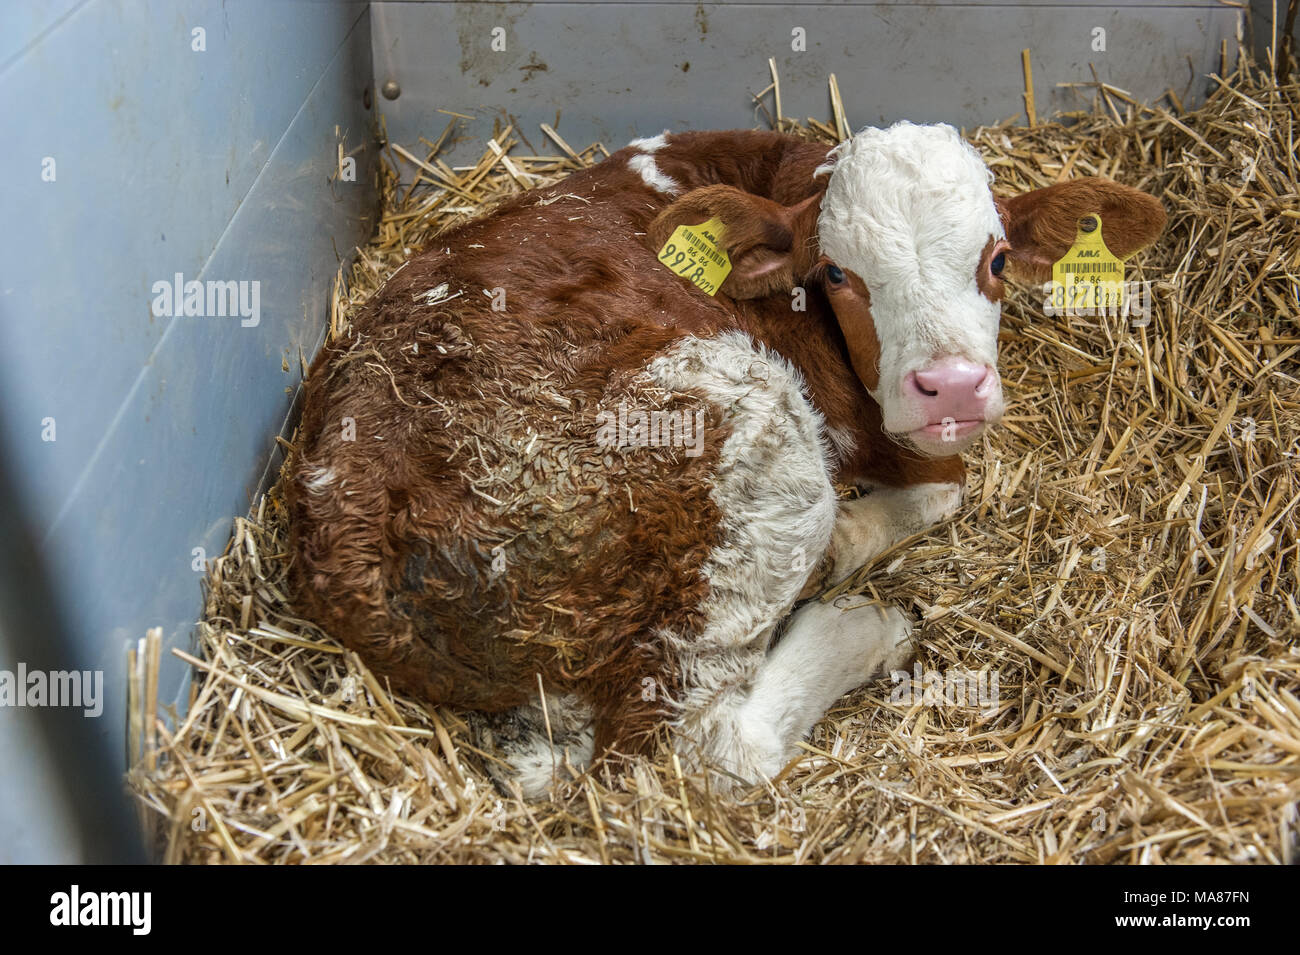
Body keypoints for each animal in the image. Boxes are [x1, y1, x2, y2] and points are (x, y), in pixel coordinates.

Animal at [287, 123, 1170, 795]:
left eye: (995, 259)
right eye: (838, 273)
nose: (950, 387)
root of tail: (350, 537)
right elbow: (942, 491)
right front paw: (850, 545)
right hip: (749, 457)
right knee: (705, 746)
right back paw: (862, 625)